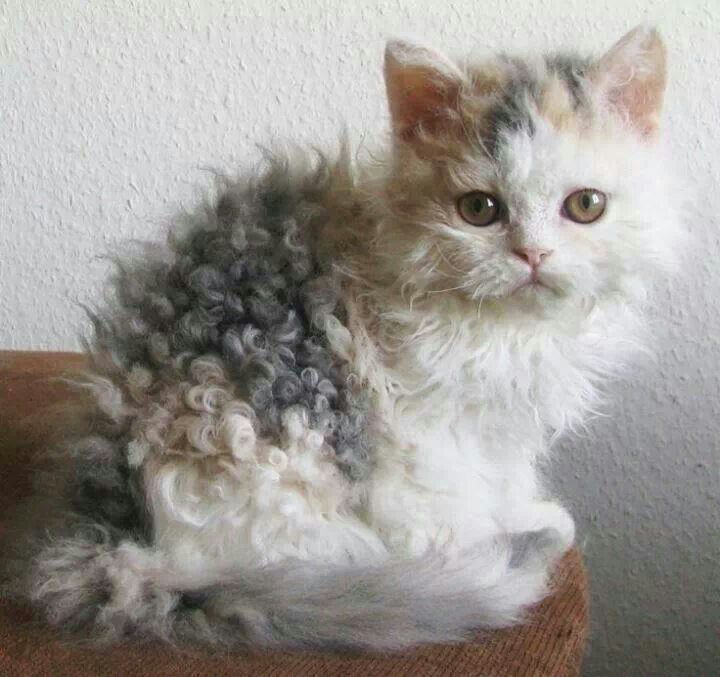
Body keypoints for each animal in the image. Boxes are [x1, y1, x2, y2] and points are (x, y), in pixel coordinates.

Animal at [1, 25, 680, 648]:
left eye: (585, 205)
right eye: (480, 209)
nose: (533, 255)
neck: (510, 331)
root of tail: (111, 532)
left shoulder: (501, 423)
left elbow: (504, 476)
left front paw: (526, 515)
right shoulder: (417, 421)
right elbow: (442, 500)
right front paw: (475, 551)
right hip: (265, 440)